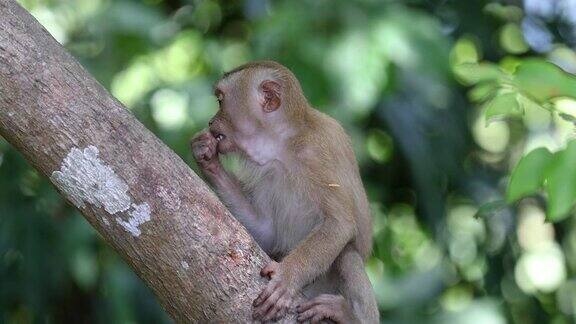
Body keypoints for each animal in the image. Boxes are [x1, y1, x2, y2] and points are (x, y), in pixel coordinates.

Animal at [191, 61, 380, 324]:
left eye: (220, 101)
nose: (210, 122)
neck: (284, 145)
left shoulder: (317, 155)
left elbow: (339, 224)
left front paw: (286, 278)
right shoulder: (268, 172)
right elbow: (267, 230)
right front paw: (207, 157)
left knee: (347, 255)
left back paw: (347, 315)